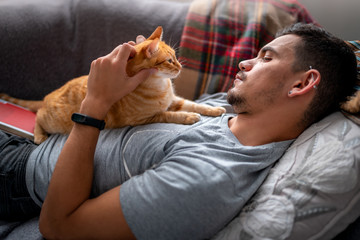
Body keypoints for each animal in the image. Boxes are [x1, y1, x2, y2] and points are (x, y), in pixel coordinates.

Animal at [0, 27, 225, 144]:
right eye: (170, 60)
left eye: (175, 57)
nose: (180, 66)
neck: (162, 87)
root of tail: (47, 97)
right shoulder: (146, 118)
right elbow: (171, 115)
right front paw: (189, 117)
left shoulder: (175, 100)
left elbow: (194, 104)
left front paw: (214, 109)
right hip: (52, 121)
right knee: (37, 116)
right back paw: (39, 135)